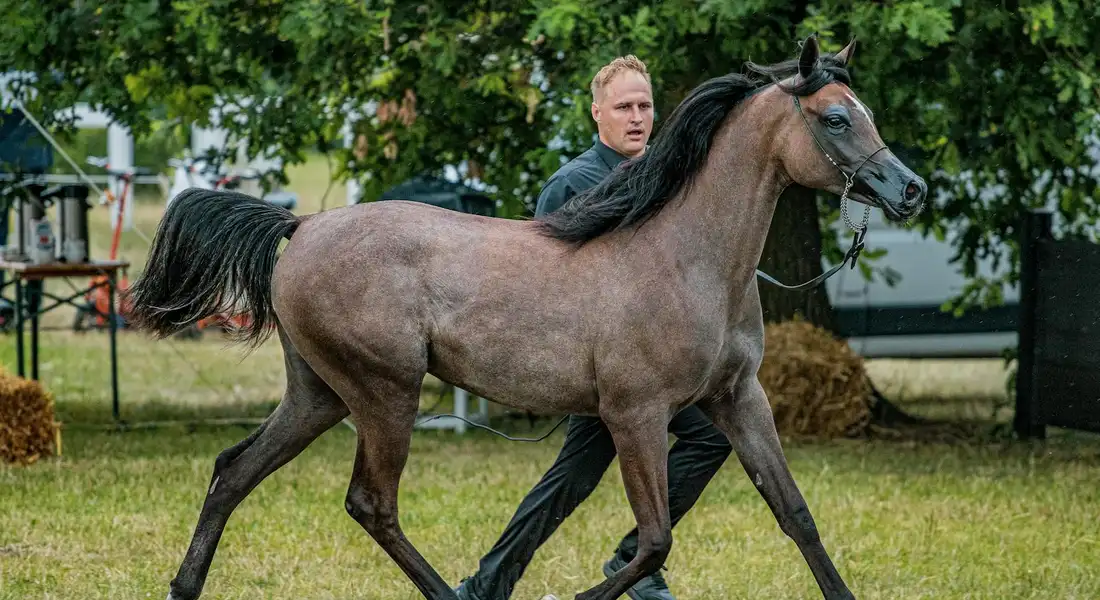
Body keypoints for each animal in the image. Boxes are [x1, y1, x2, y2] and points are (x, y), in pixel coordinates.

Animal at [126, 35, 926, 600]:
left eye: (867, 112)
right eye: (834, 118)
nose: (910, 190)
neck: (685, 257)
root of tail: (302, 225)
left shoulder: (739, 398)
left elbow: (795, 514)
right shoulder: (635, 414)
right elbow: (654, 540)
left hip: (318, 394)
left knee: (233, 472)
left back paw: (183, 588)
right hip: (385, 393)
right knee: (371, 504)